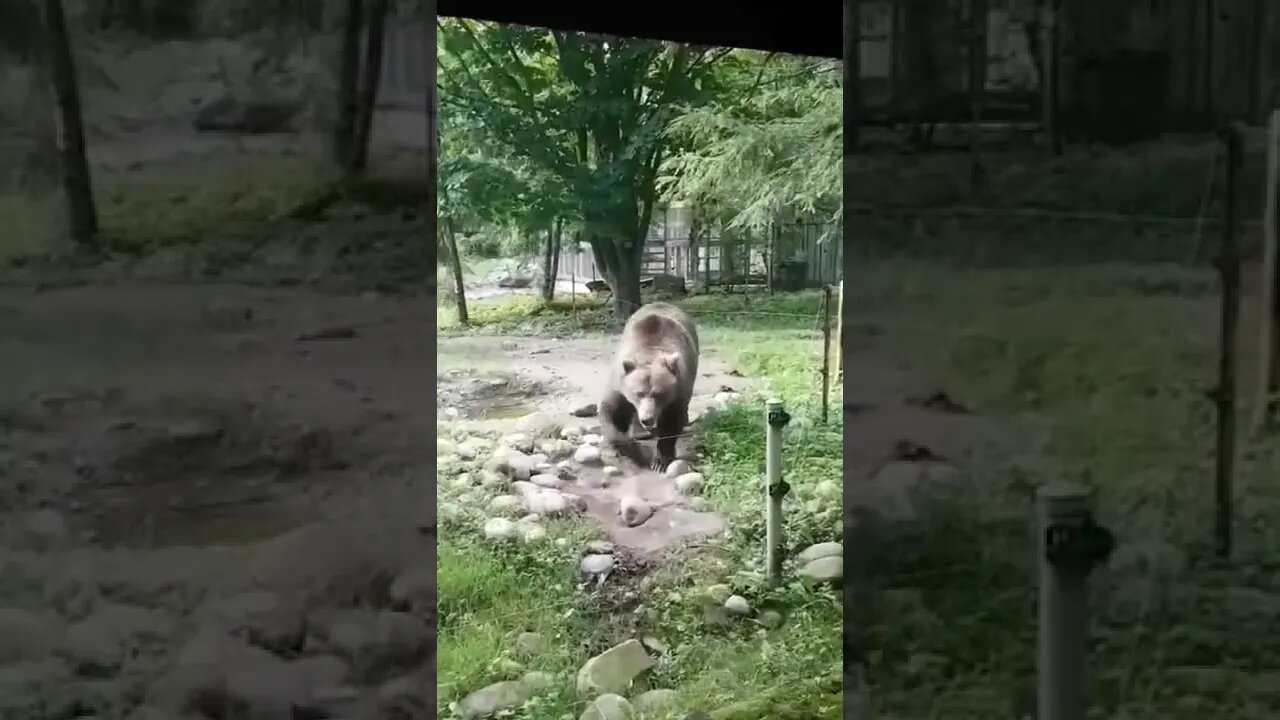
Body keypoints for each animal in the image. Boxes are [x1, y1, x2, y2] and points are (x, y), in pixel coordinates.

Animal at [598, 301, 700, 472]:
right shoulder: (620, 385)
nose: (647, 419)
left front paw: (660, 461)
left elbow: (671, 422)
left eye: (659, 394)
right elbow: (612, 413)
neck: (649, 352)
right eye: (638, 393)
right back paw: (640, 432)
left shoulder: (678, 391)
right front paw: (635, 452)